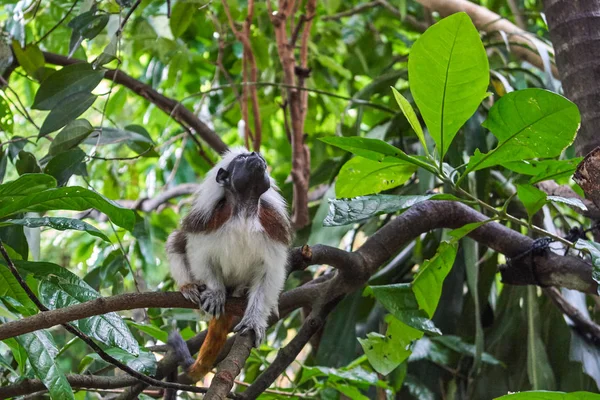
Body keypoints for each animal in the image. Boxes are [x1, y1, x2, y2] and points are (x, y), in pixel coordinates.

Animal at [165, 148, 292, 382]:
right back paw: (189, 287)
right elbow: (199, 254)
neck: (244, 211)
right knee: (176, 242)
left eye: (261, 159)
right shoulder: (208, 221)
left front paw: (254, 320)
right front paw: (216, 293)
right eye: (242, 158)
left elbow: (270, 273)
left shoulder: (273, 227)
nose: (256, 154)